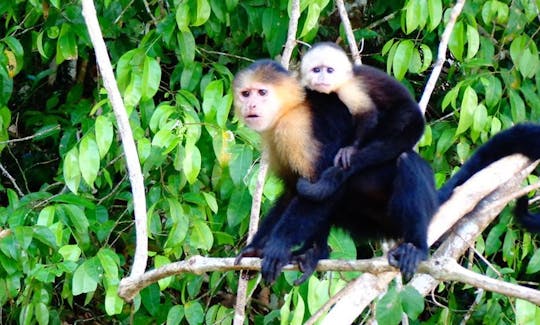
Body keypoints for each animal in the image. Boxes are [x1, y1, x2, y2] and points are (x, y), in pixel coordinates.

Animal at [233, 59, 438, 282]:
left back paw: (416, 248)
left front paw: (278, 246)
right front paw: (255, 249)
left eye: (262, 92)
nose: (251, 105)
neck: (289, 110)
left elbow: (319, 189)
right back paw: (315, 252)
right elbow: (291, 193)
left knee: (405, 161)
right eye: (246, 94)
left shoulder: (295, 130)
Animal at [296, 42, 426, 199]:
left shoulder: (348, 88)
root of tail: (419, 118)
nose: (322, 77)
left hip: (405, 115)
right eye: (316, 70)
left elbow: (368, 114)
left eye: (329, 70)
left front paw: (351, 149)